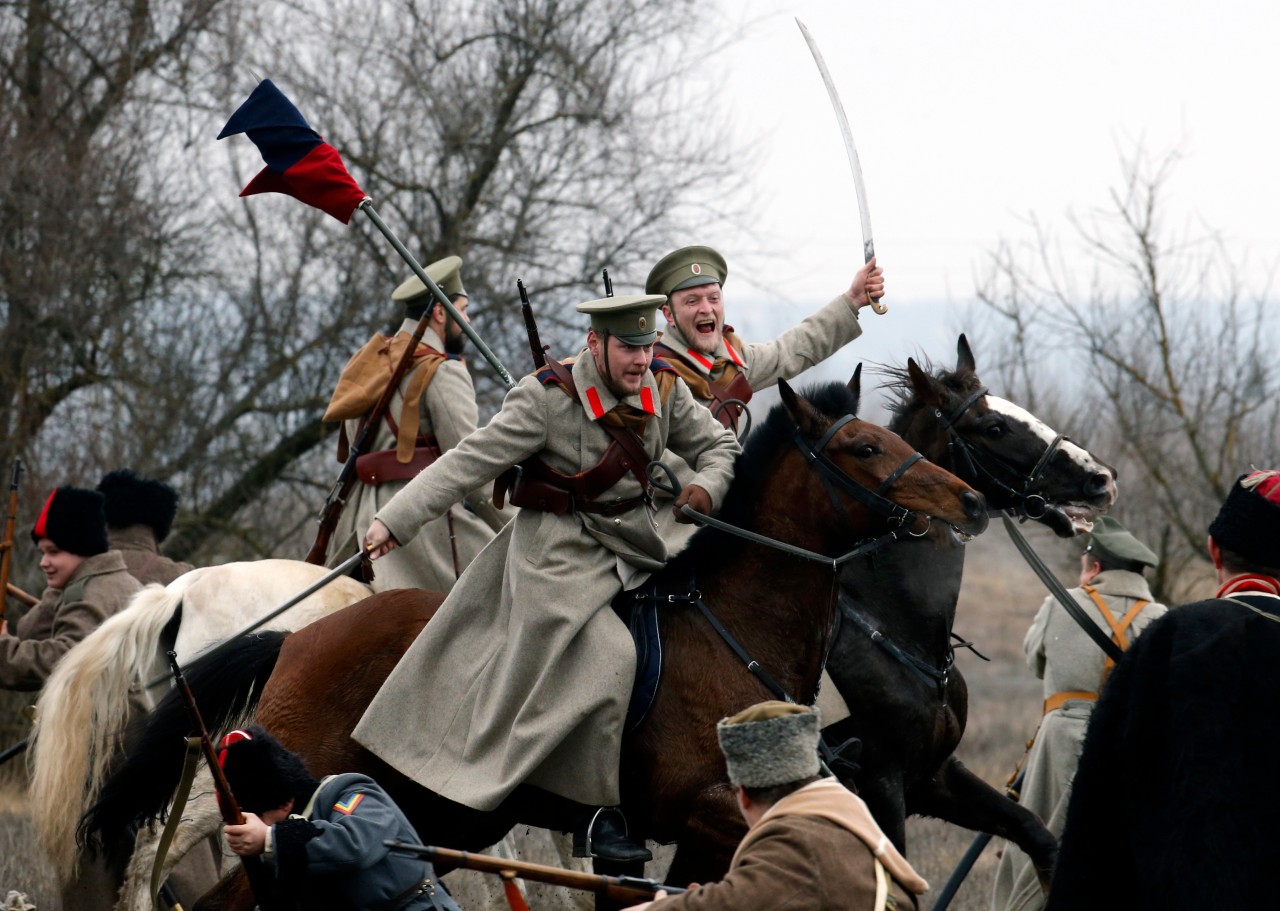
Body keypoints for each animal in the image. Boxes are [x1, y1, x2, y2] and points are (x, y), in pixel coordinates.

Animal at [85, 376, 988, 905]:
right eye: (864, 446)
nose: (970, 501)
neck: (733, 627)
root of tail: (301, 635)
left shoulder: (706, 837)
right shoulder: (704, 815)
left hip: (439, 819)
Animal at [819, 335, 1111, 880]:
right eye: (993, 427)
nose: (1102, 479)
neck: (891, 627)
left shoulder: (935, 777)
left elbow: (1036, 834)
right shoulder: (880, 786)